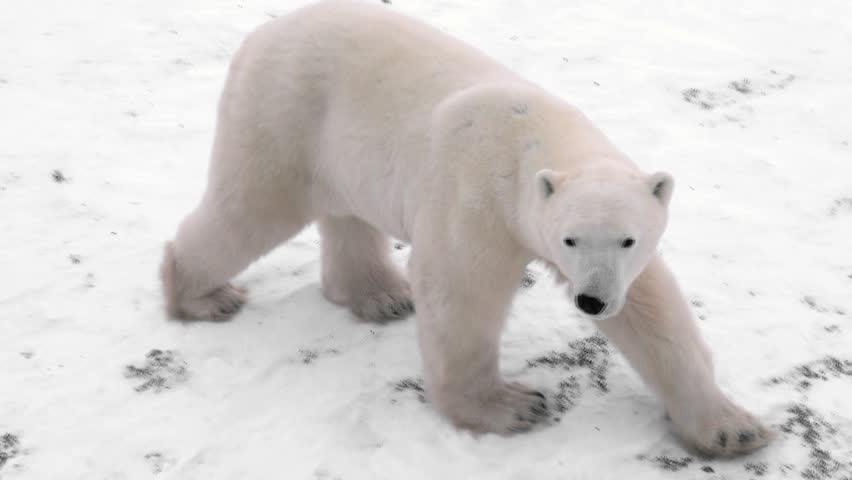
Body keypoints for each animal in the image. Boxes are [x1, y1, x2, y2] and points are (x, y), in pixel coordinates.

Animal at [160, 0, 771, 457]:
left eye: (628, 239)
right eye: (570, 238)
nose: (592, 302)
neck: (530, 139)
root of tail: (264, 32)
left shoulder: (616, 259)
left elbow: (653, 312)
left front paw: (733, 429)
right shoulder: (478, 199)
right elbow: (460, 290)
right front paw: (512, 406)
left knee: (346, 215)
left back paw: (381, 296)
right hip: (284, 114)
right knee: (250, 207)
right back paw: (202, 295)